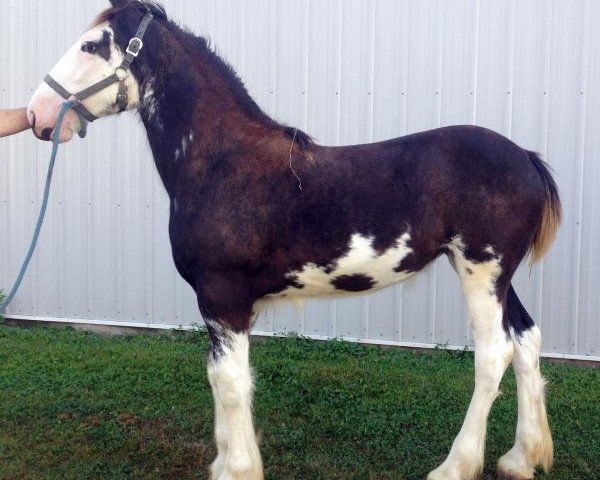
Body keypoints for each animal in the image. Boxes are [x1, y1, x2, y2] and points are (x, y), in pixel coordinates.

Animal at [27, 1, 564, 478]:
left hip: (481, 271)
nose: (37, 113)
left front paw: (237, 469)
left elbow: (229, 382)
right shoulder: (223, 306)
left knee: (493, 354)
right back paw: (521, 459)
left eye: (91, 45)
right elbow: (220, 377)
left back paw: (455, 467)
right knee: (526, 339)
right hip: (494, 275)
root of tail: (526, 158)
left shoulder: (222, 297)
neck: (222, 163)